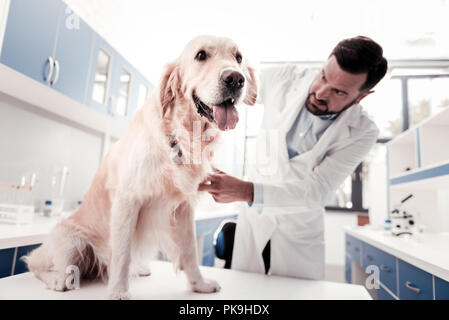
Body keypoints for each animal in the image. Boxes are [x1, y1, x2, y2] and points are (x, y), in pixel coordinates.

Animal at [23, 35, 256, 300]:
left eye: (238, 57)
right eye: (201, 55)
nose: (236, 79)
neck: (183, 134)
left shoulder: (183, 209)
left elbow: (189, 251)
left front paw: (199, 284)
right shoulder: (128, 200)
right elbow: (122, 254)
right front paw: (118, 291)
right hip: (71, 241)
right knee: (37, 264)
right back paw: (57, 279)